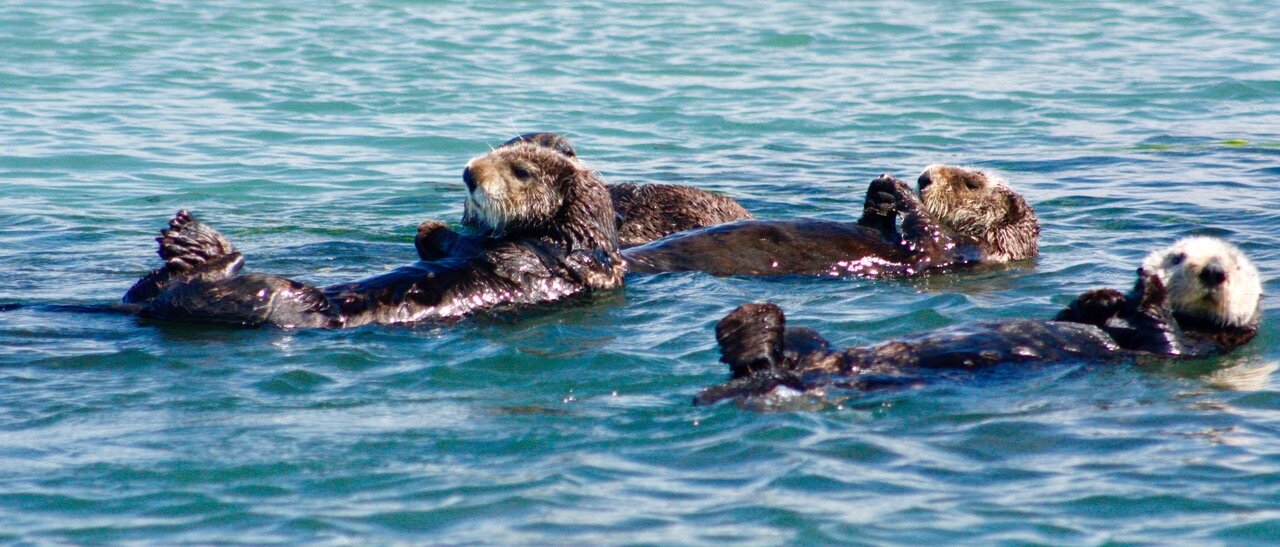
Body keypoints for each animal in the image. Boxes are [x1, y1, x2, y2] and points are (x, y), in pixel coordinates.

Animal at [122, 142, 625, 328]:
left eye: (521, 170)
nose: (468, 173)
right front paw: (428, 228)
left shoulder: (544, 257)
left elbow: (482, 248)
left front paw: (434, 228)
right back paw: (187, 240)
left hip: (278, 301)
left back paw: (200, 244)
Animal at [622, 165, 1039, 277]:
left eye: (971, 183)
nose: (925, 177)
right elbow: (875, 225)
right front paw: (881, 188)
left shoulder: (956, 250)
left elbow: (928, 236)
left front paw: (900, 190)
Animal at [697, 237, 1262, 405]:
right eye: (1181, 255)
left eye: (1233, 269)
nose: (1212, 272)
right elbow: (1075, 313)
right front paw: (1101, 297)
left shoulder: (1195, 348)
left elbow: (1163, 338)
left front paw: (1149, 290)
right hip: (813, 351)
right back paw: (746, 322)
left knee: (764, 369)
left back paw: (747, 331)